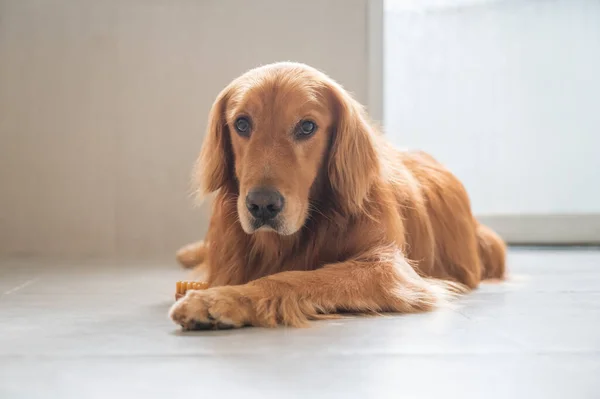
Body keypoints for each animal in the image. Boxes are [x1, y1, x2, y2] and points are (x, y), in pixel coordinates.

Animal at [170, 63, 506, 332]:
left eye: (307, 126)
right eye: (241, 123)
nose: (262, 205)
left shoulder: (388, 269)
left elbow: (296, 278)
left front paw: (219, 299)